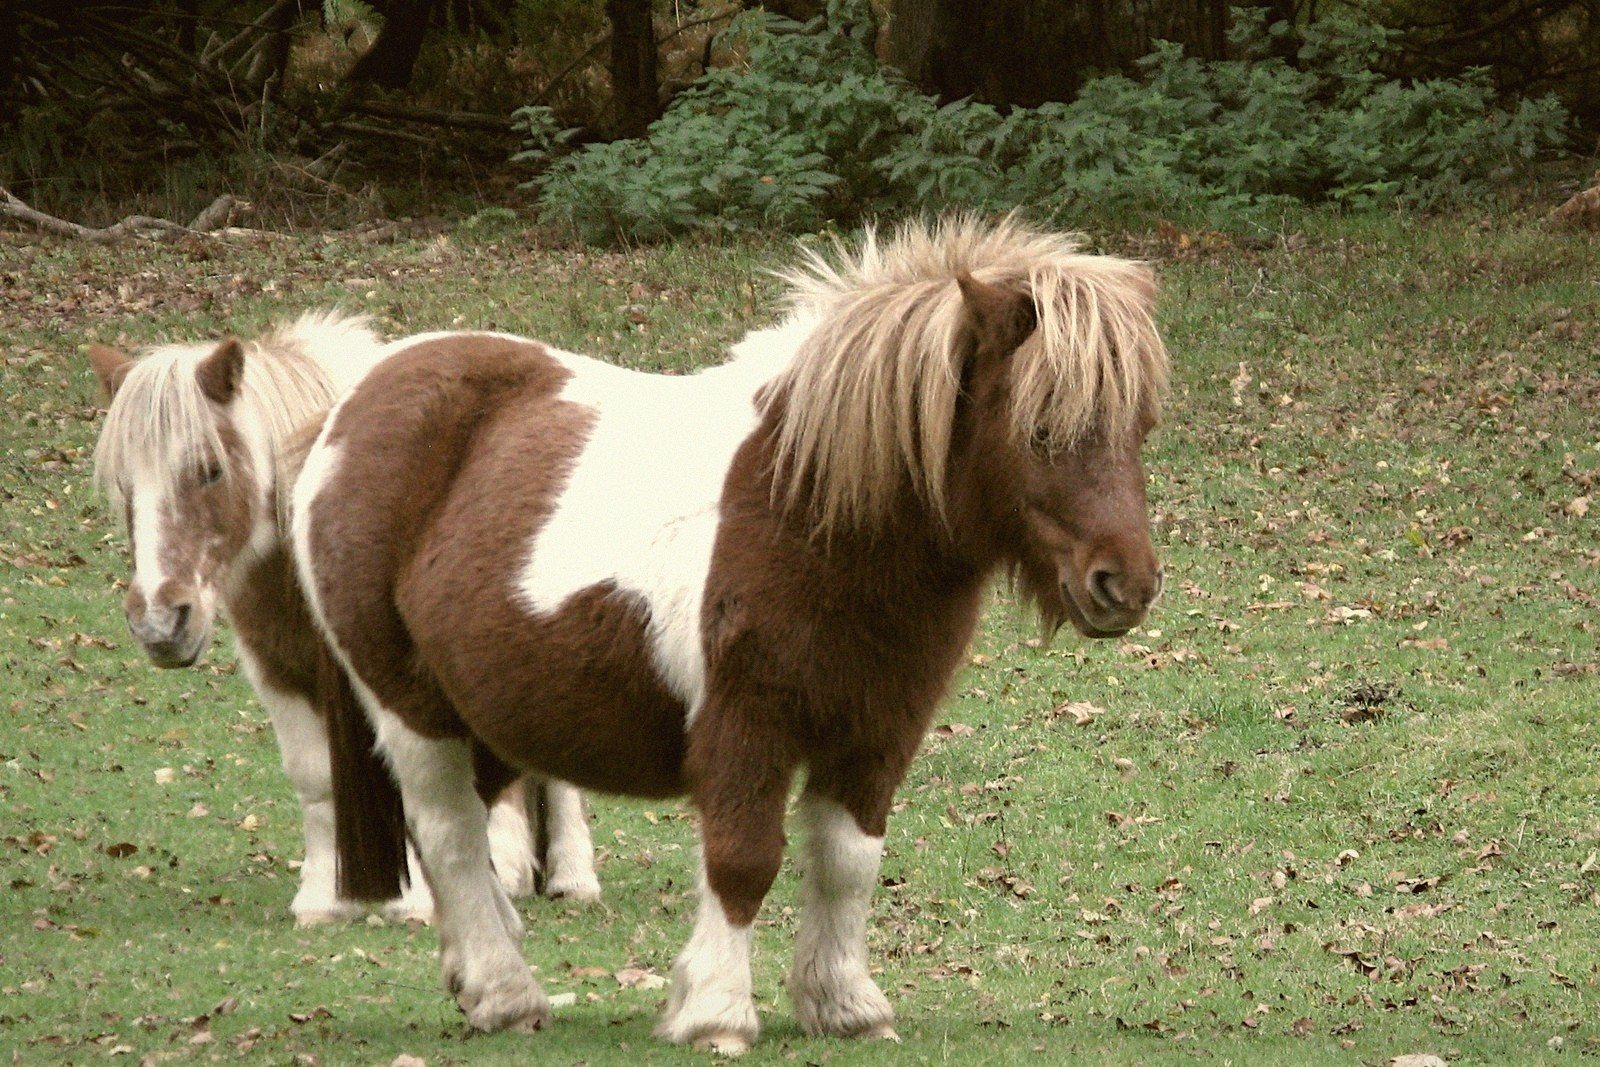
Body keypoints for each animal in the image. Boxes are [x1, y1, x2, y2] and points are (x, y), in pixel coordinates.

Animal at [86, 313, 602, 925]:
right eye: (124, 484)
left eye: (210, 470)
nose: (160, 623)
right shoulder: (277, 667)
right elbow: (315, 775)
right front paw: (324, 897)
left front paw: (413, 898)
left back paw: (569, 876)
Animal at [294, 216, 1168, 1051]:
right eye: (1041, 429)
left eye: (1140, 428)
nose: (1124, 584)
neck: (807, 507)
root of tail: (349, 410)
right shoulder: (746, 727)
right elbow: (744, 860)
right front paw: (715, 1012)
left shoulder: (877, 732)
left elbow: (849, 862)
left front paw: (846, 1006)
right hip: (411, 707)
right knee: (447, 831)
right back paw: (506, 994)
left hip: (493, 714)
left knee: (467, 834)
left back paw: (477, 973)